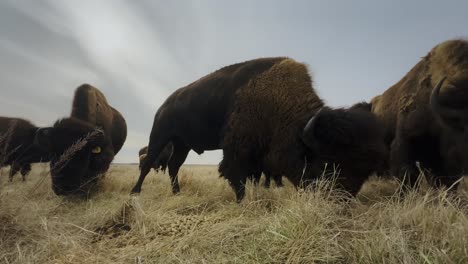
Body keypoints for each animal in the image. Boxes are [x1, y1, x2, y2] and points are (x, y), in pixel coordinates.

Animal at [132, 58, 388, 202]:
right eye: (327, 163)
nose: (340, 200)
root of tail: (165, 104)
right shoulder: (238, 149)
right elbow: (236, 174)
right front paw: (242, 201)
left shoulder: (257, 154)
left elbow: (255, 175)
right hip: (160, 136)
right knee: (148, 163)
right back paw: (136, 191)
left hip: (182, 145)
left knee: (173, 166)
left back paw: (177, 192)